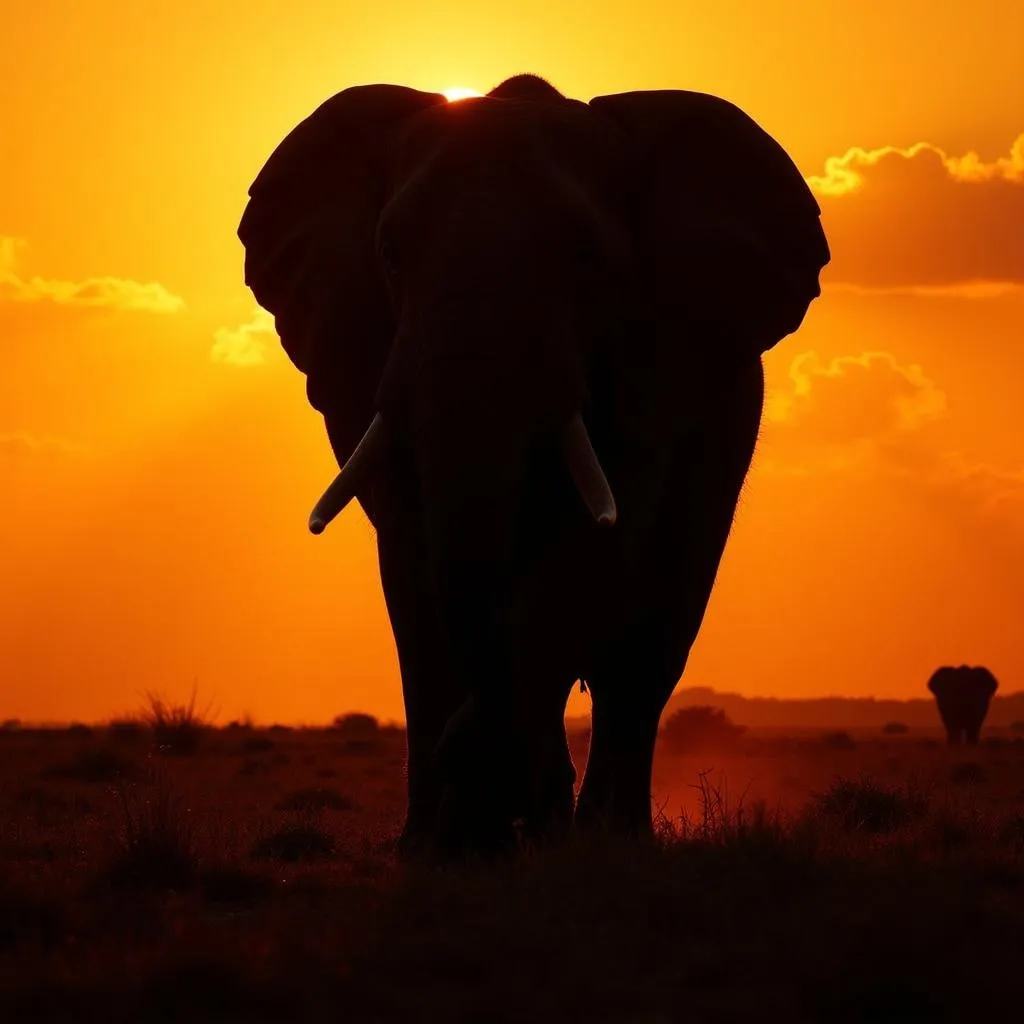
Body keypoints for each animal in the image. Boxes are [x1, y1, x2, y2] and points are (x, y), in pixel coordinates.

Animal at [239, 70, 831, 856]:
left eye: (587, 258)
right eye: (390, 254)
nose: (495, 783)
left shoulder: (655, 366)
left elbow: (602, 538)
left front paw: (495, 806)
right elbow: (413, 553)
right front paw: (447, 847)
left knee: (646, 651)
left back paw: (608, 838)